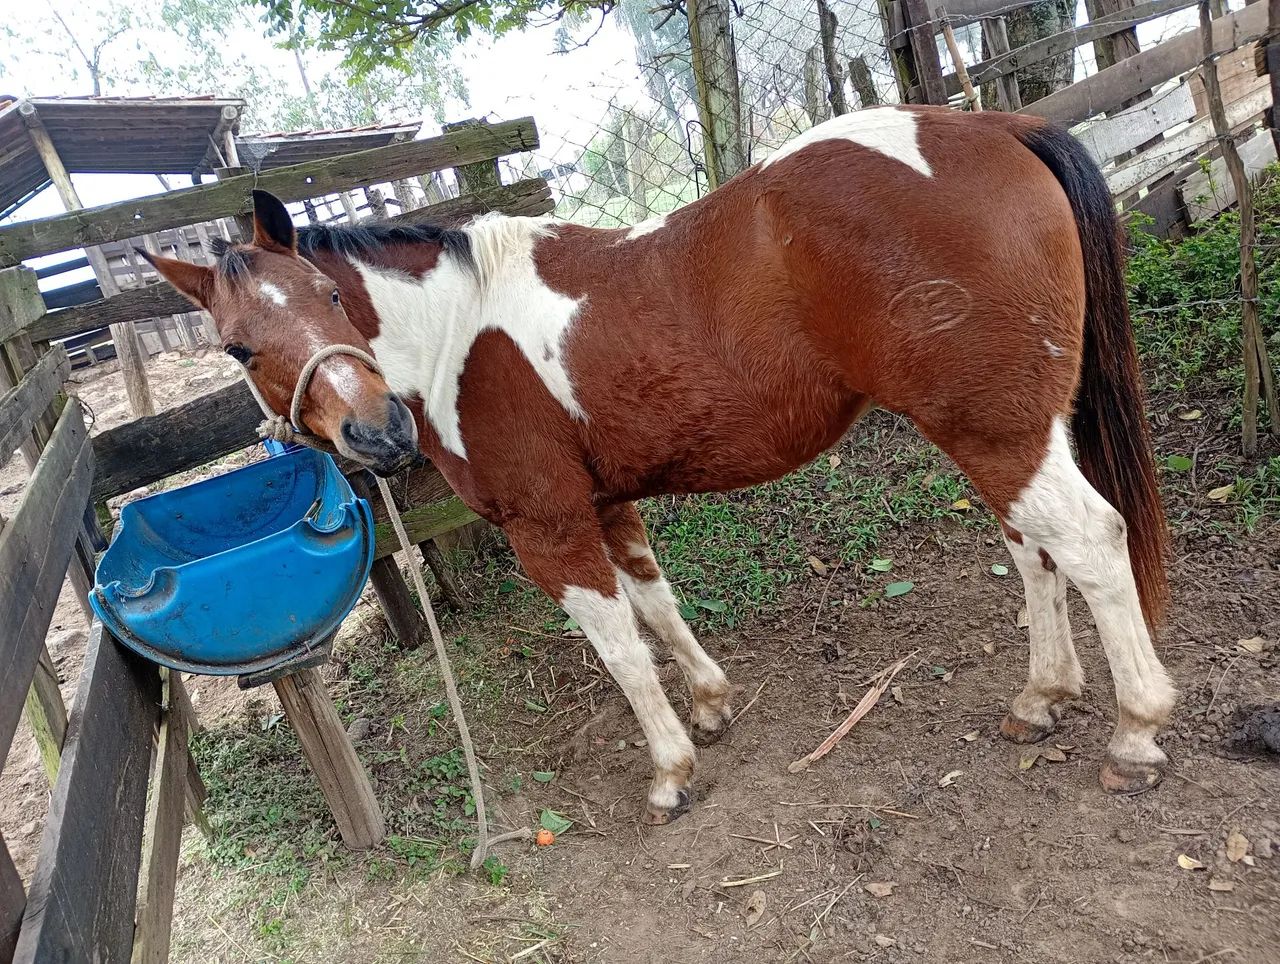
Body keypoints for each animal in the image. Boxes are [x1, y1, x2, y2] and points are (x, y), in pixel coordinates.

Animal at [144, 105, 1176, 825]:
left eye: (328, 296)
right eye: (239, 346)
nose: (376, 435)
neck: (454, 333)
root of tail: (996, 126)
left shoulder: (550, 528)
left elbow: (619, 648)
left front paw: (672, 769)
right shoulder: (608, 505)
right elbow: (657, 604)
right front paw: (712, 705)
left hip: (997, 431)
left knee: (1090, 540)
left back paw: (1136, 729)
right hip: (1003, 431)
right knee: (1034, 547)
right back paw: (1043, 696)